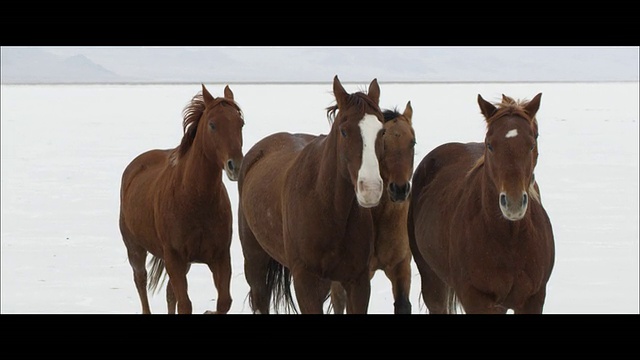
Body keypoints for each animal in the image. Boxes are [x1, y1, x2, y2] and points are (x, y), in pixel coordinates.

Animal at [117, 83, 245, 312]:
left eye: (241, 123)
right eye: (212, 125)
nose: (235, 165)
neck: (195, 199)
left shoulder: (220, 257)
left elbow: (224, 301)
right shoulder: (174, 258)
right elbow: (185, 304)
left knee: (169, 292)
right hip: (135, 248)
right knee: (141, 281)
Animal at [235, 75, 384, 312]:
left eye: (382, 131)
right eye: (344, 131)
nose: (370, 189)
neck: (328, 208)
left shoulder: (358, 282)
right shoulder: (306, 282)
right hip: (255, 264)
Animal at [328, 100, 418, 312]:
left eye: (412, 142)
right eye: (383, 142)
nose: (399, 189)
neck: (380, 218)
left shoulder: (401, 267)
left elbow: (403, 304)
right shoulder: (359, 276)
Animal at [410, 93, 556, 316]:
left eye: (532, 144)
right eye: (490, 145)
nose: (513, 203)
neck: (510, 239)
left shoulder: (533, 299)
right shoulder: (476, 299)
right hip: (432, 281)